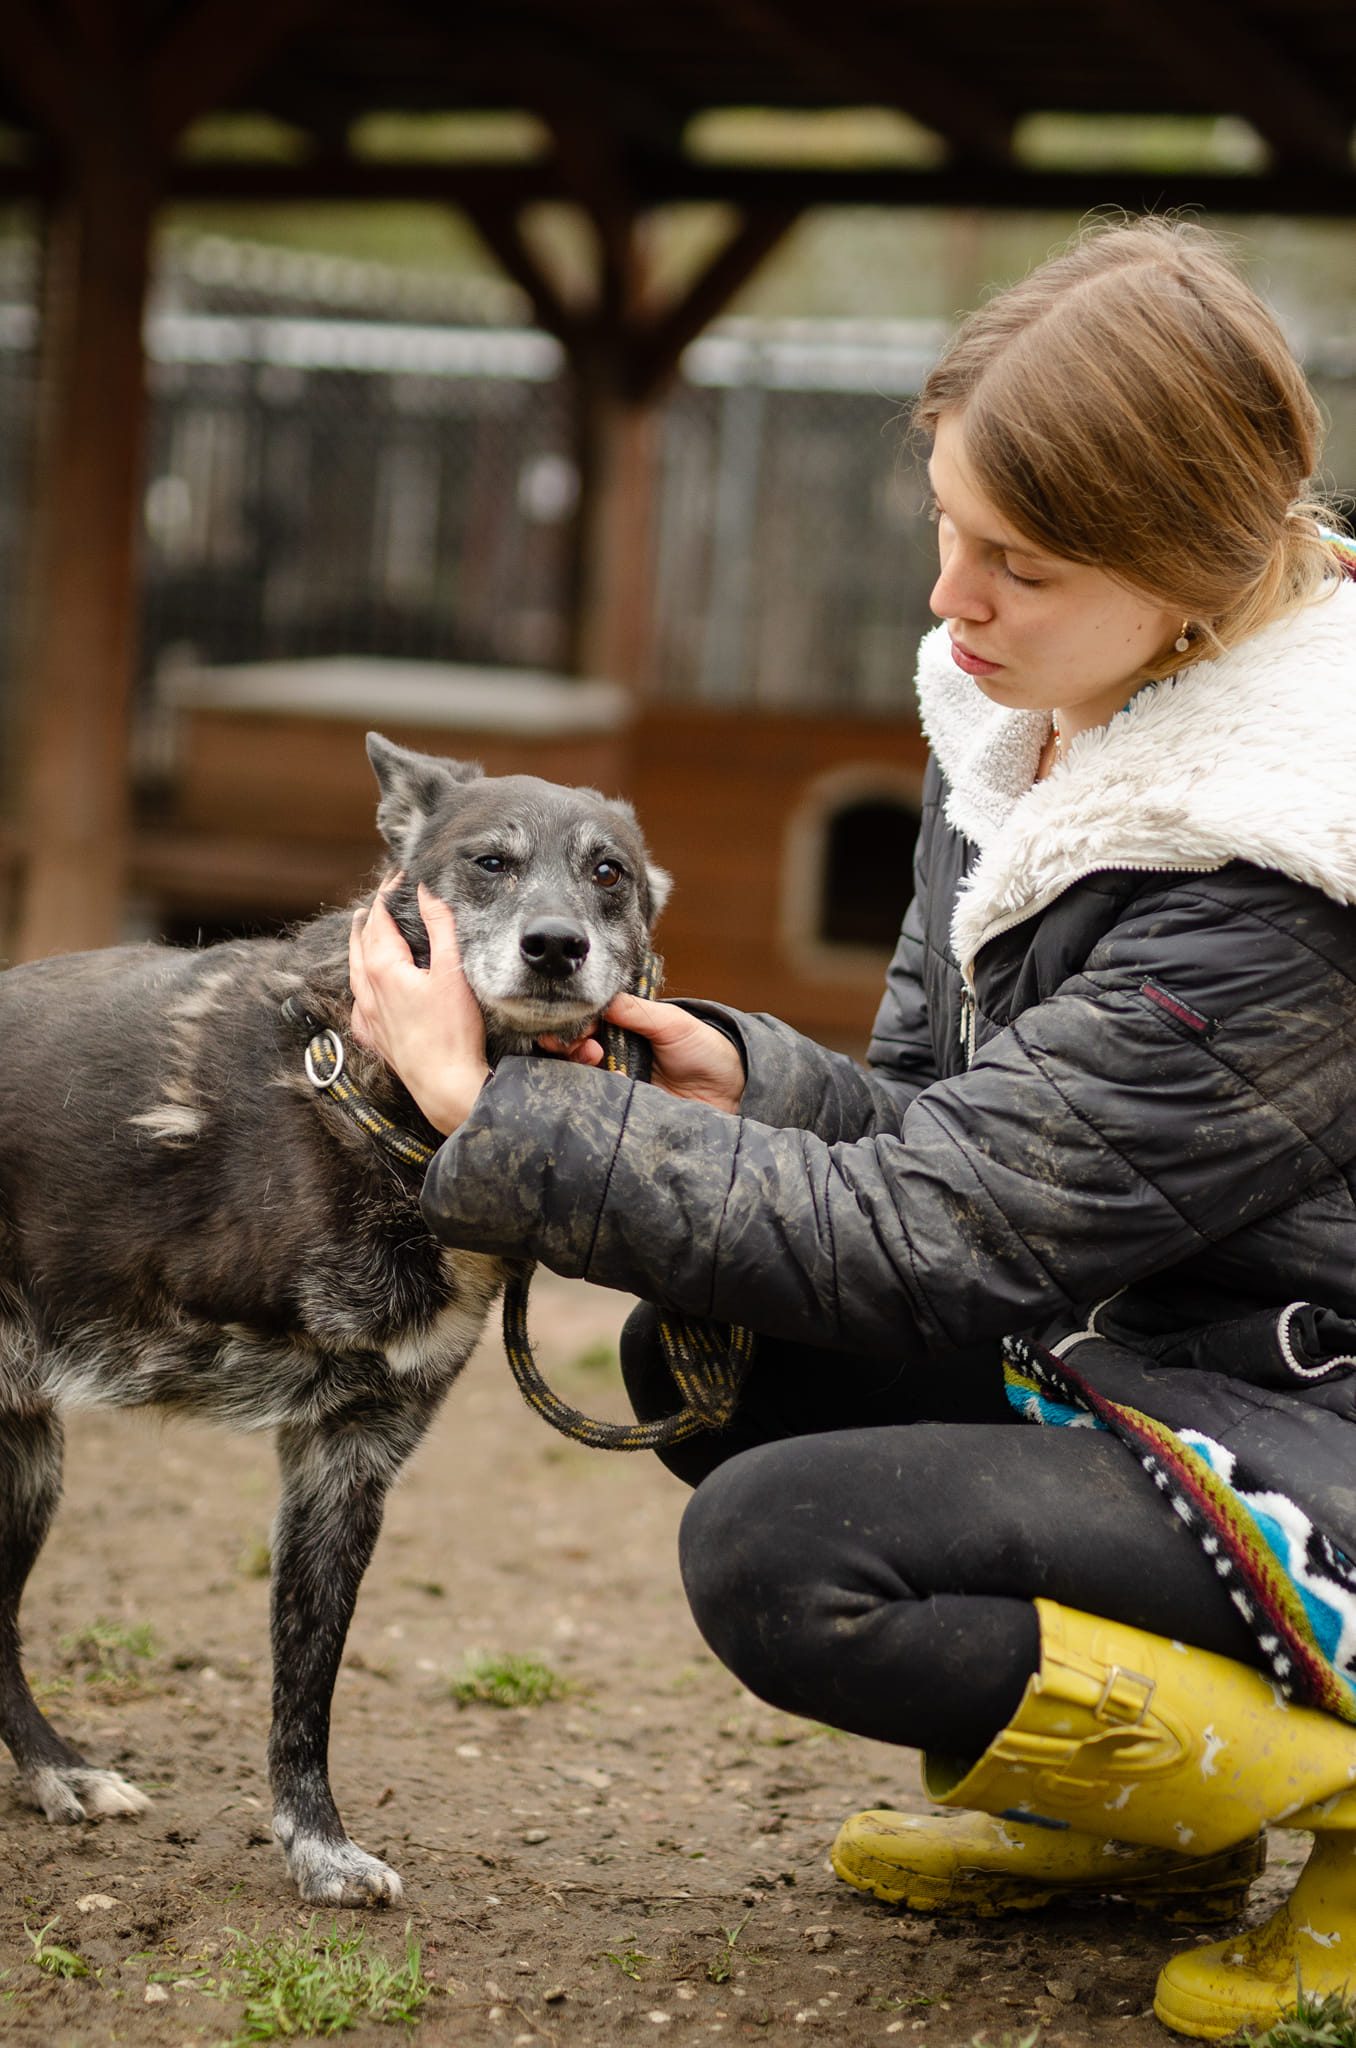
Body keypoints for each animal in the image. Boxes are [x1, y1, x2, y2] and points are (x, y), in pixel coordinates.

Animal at [0, 733, 671, 1900]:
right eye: (490, 863)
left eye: (608, 873)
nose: (555, 947)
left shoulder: (348, 1455)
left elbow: (305, 1679)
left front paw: (314, 1843)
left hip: (30, 1465)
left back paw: (57, 1771)